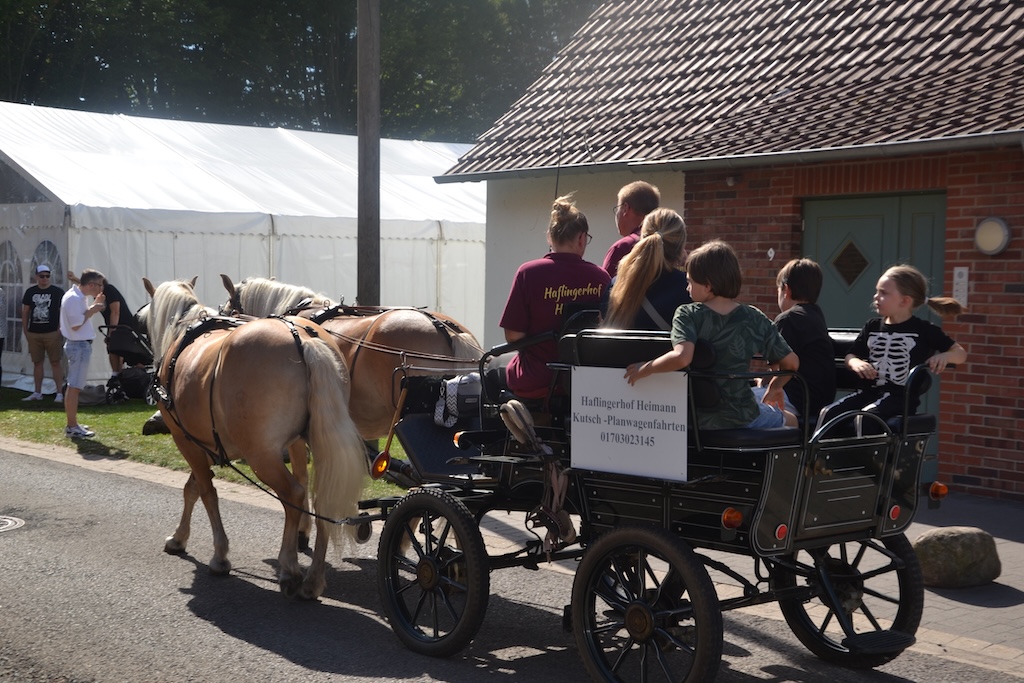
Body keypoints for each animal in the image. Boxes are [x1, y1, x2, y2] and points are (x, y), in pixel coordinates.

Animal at [140, 278, 367, 600]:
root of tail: (304, 339)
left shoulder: (186, 440)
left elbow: (206, 492)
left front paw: (219, 555)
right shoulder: (209, 444)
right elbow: (191, 488)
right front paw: (179, 537)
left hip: (261, 455)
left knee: (293, 495)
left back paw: (289, 568)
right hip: (319, 442)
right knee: (321, 497)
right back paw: (312, 580)